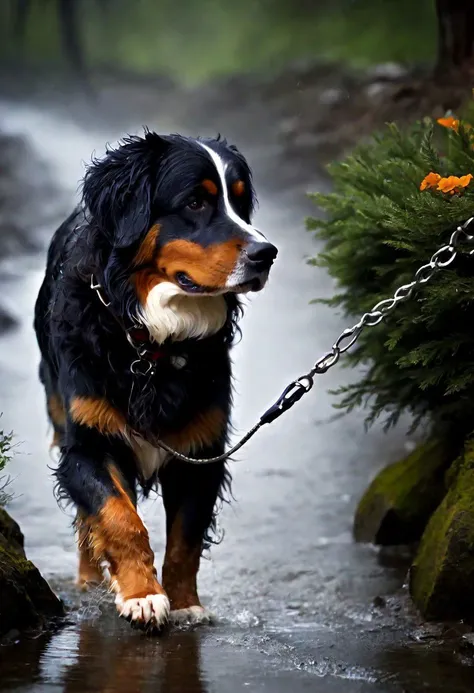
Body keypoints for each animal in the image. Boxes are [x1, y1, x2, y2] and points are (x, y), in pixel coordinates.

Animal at [34, 131, 278, 632]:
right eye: (195, 201)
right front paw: (142, 595)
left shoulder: (200, 452)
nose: (266, 254)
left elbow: (186, 538)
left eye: (241, 203)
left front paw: (184, 602)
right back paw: (90, 580)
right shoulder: (88, 444)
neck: (152, 343)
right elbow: (117, 516)